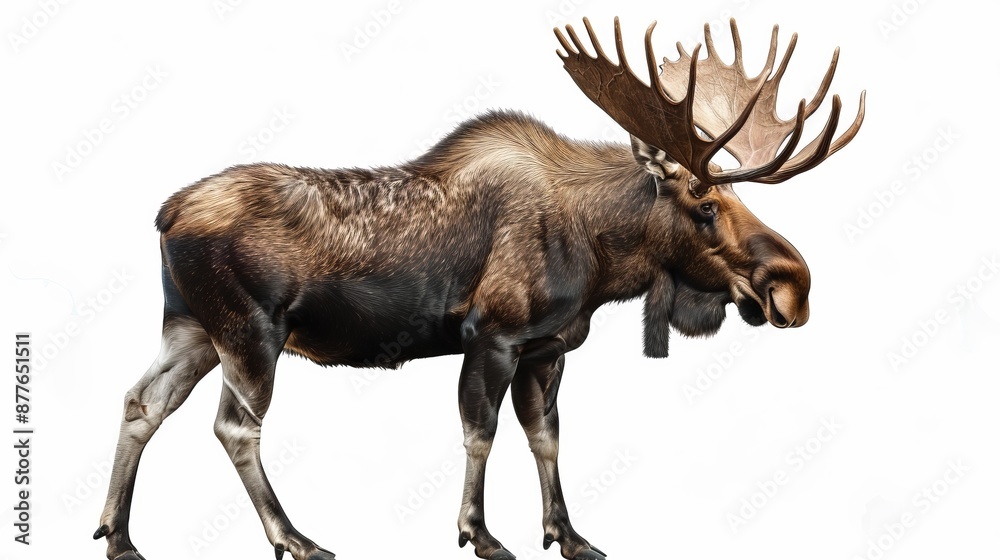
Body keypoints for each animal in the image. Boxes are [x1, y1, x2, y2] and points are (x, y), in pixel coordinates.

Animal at [94, 17, 864, 560]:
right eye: (704, 205)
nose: (794, 286)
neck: (600, 250)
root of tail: (165, 214)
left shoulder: (548, 348)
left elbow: (546, 437)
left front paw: (569, 534)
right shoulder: (492, 333)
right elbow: (480, 430)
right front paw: (481, 533)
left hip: (191, 327)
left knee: (142, 401)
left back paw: (120, 536)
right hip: (250, 331)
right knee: (234, 426)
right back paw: (295, 538)